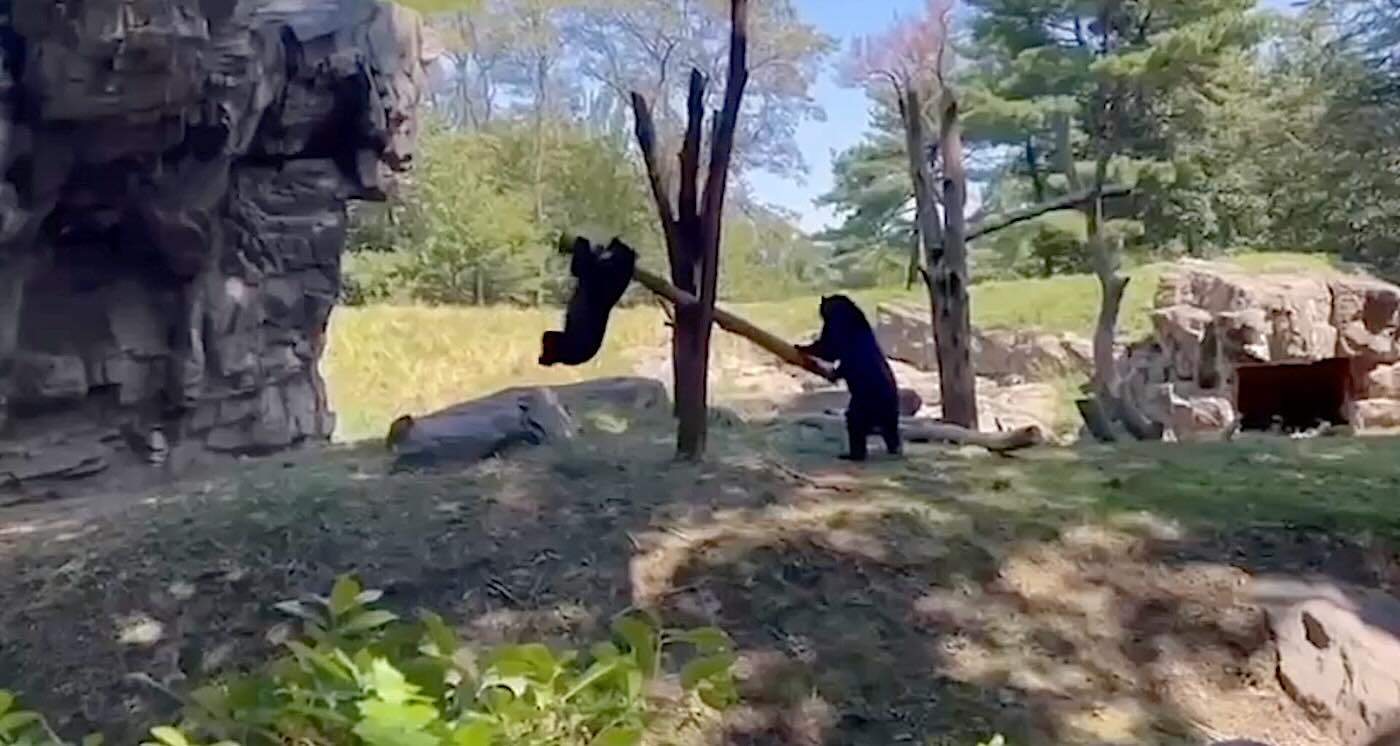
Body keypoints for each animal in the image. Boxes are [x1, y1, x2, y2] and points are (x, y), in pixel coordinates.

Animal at [540, 236, 637, 367]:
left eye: (620, 246)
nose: (615, 239)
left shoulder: (595, 272)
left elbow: (579, 265)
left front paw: (582, 240)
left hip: (566, 342)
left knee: (549, 339)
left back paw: (544, 358)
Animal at [796, 294, 903, 461]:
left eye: (822, 306)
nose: (819, 307)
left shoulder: (838, 328)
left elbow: (829, 348)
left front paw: (801, 347)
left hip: (864, 402)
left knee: (855, 422)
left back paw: (852, 454)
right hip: (887, 413)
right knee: (890, 432)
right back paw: (895, 449)